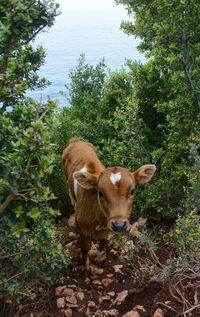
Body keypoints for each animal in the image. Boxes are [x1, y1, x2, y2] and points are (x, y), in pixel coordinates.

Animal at [62, 137, 156, 268]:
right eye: (100, 193)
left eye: (132, 191)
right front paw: (84, 266)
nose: (119, 225)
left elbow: (102, 241)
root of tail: (76, 141)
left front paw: (100, 258)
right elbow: (85, 247)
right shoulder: (81, 223)